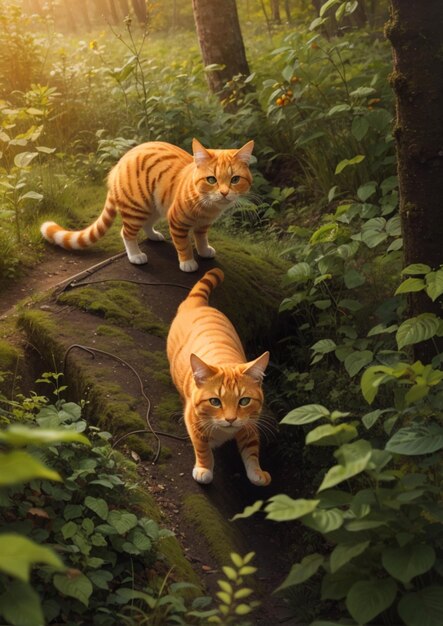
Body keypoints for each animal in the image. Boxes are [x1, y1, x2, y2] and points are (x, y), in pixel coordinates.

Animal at [42, 139, 256, 270]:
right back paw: (136, 255)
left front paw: (203, 252)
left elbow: (201, 239)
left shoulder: (203, 225)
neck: (208, 207)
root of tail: (119, 163)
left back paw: (154, 236)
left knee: (146, 225)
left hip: (154, 206)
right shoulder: (176, 221)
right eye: (212, 180)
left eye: (235, 180)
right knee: (126, 233)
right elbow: (183, 244)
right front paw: (188, 262)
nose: (224, 193)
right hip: (137, 207)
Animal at [166, 266, 270, 486]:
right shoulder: (194, 420)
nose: (230, 419)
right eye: (215, 401)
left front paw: (257, 472)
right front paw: (204, 469)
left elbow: (251, 448)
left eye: (244, 401)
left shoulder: (250, 422)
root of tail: (198, 305)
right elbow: (202, 447)